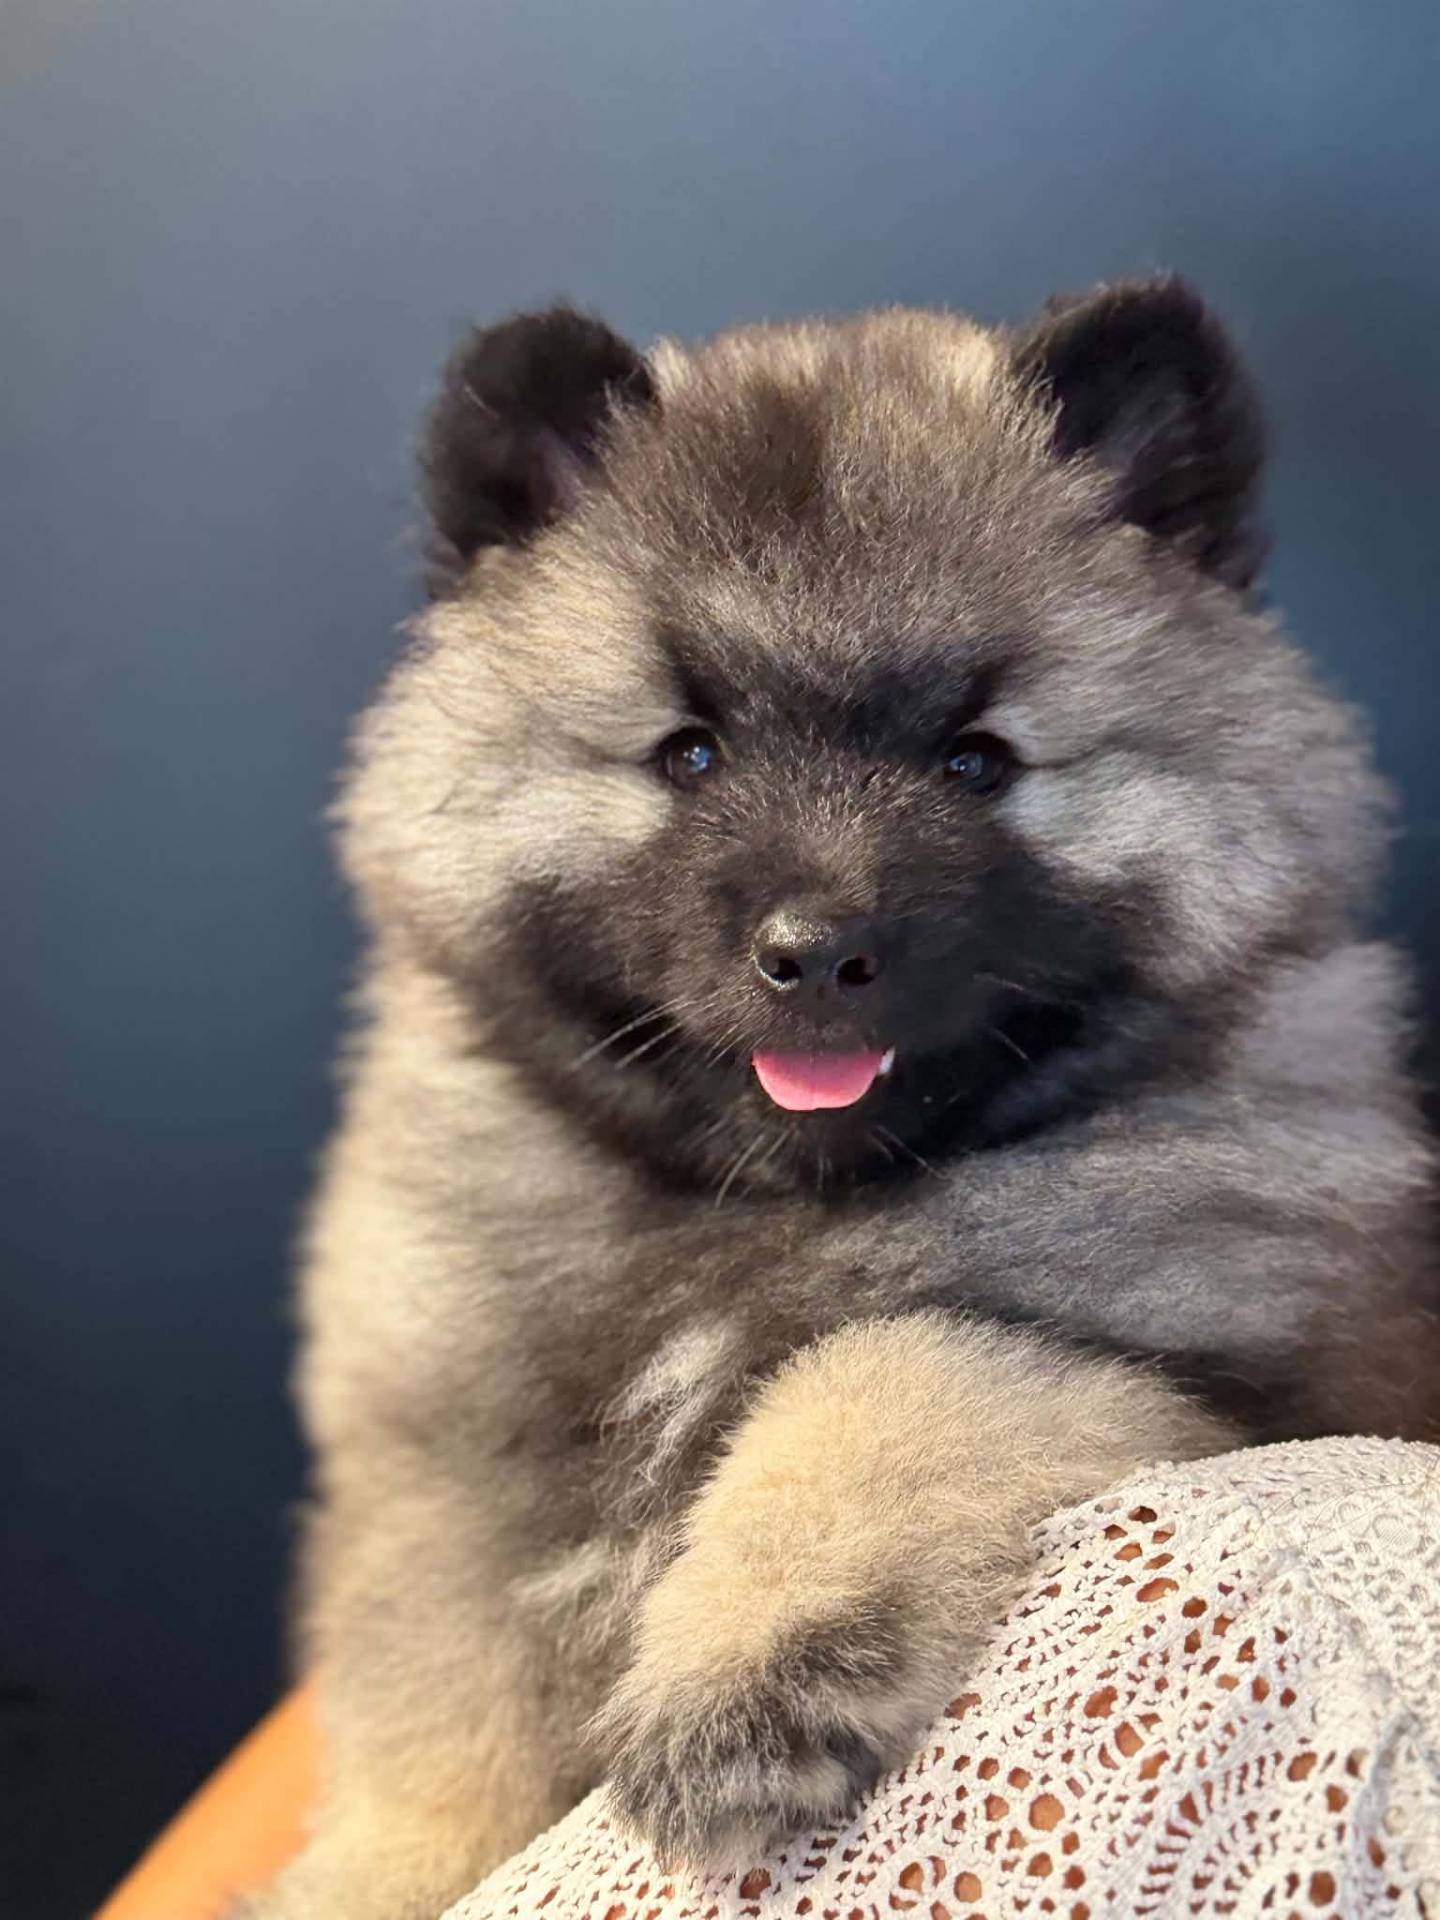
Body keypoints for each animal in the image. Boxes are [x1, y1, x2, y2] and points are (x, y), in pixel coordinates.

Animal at [245, 280, 1438, 1919]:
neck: (760, 1217)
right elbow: (439, 1718)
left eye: (976, 760)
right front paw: (374, 1872)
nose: (816, 953)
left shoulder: (1206, 1384)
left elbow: (883, 1375)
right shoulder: (451, 1470)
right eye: (689, 754)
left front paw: (748, 1665)